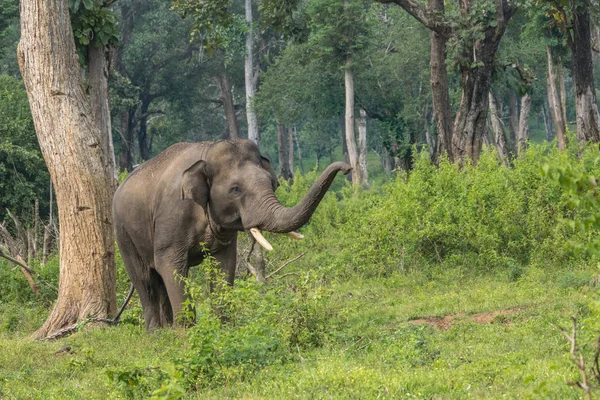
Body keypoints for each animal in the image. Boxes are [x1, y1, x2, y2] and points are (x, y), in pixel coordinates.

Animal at [112, 139, 352, 330]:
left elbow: (224, 265)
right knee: (145, 280)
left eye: (272, 183)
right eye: (235, 189)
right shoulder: (172, 216)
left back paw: (165, 330)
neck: (207, 152)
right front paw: (186, 336)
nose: (348, 168)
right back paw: (157, 333)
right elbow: (170, 265)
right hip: (123, 233)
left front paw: (223, 329)